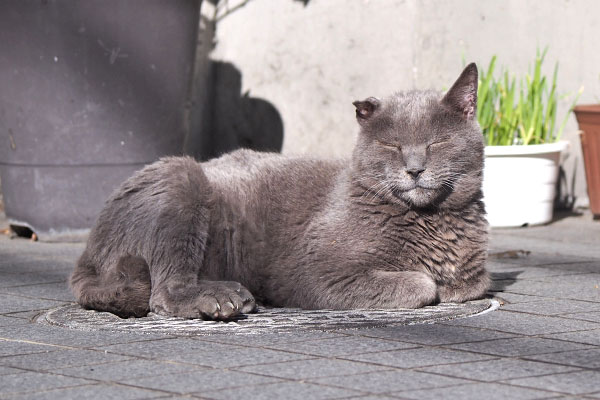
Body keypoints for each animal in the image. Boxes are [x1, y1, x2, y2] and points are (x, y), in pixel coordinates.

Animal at [70, 64, 490, 320]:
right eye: (391, 145)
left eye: (437, 142)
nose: (415, 169)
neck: (433, 223)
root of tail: (88, 250)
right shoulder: (316, 272)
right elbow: (423, 283)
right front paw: (432, 282)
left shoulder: (475, 273)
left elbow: (473, 284)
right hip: (180, 182)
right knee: (164, 291)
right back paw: (221, 299)